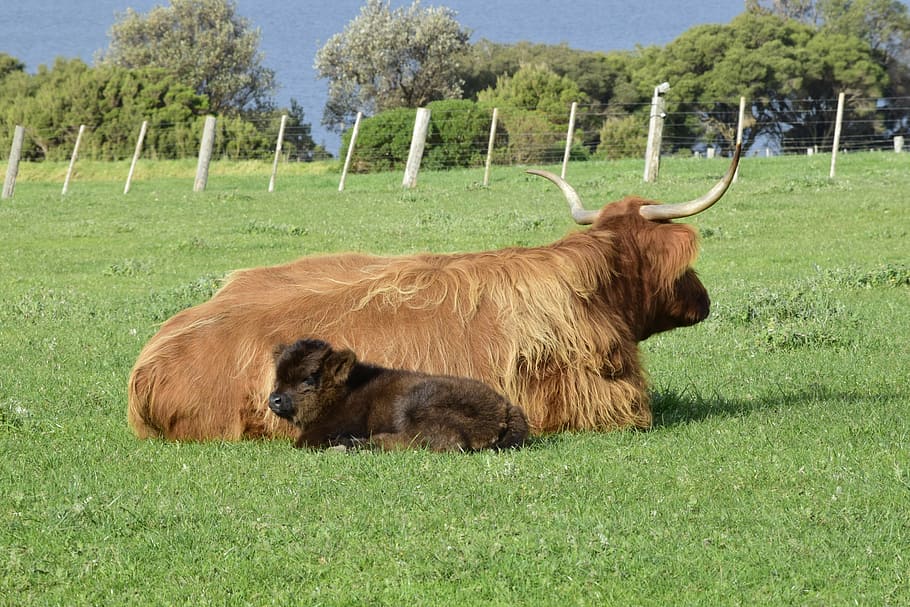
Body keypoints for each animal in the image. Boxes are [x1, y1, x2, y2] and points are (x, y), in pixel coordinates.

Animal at [268, 338, 529, 451]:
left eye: (309, 377)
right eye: (278, 375)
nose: (275, 399)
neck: (346, 390)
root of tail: (506, 408)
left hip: (413, 404)